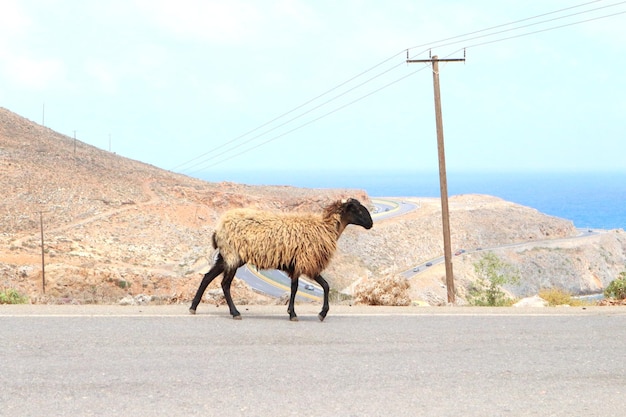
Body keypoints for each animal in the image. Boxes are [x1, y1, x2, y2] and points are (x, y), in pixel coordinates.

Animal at [185, 197, 370, 320]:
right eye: (357, 209)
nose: (371, 224)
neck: (325, 228)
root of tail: (218, 228)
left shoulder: (299, 265)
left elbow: (321, 286)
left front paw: (317, 313)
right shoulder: (305, 262)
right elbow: (301, 288)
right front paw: (297, 314)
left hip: (226, 256)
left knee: (207, 277)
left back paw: (193, 307)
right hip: (233, 256)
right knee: (225, 284)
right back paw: (235, 313)